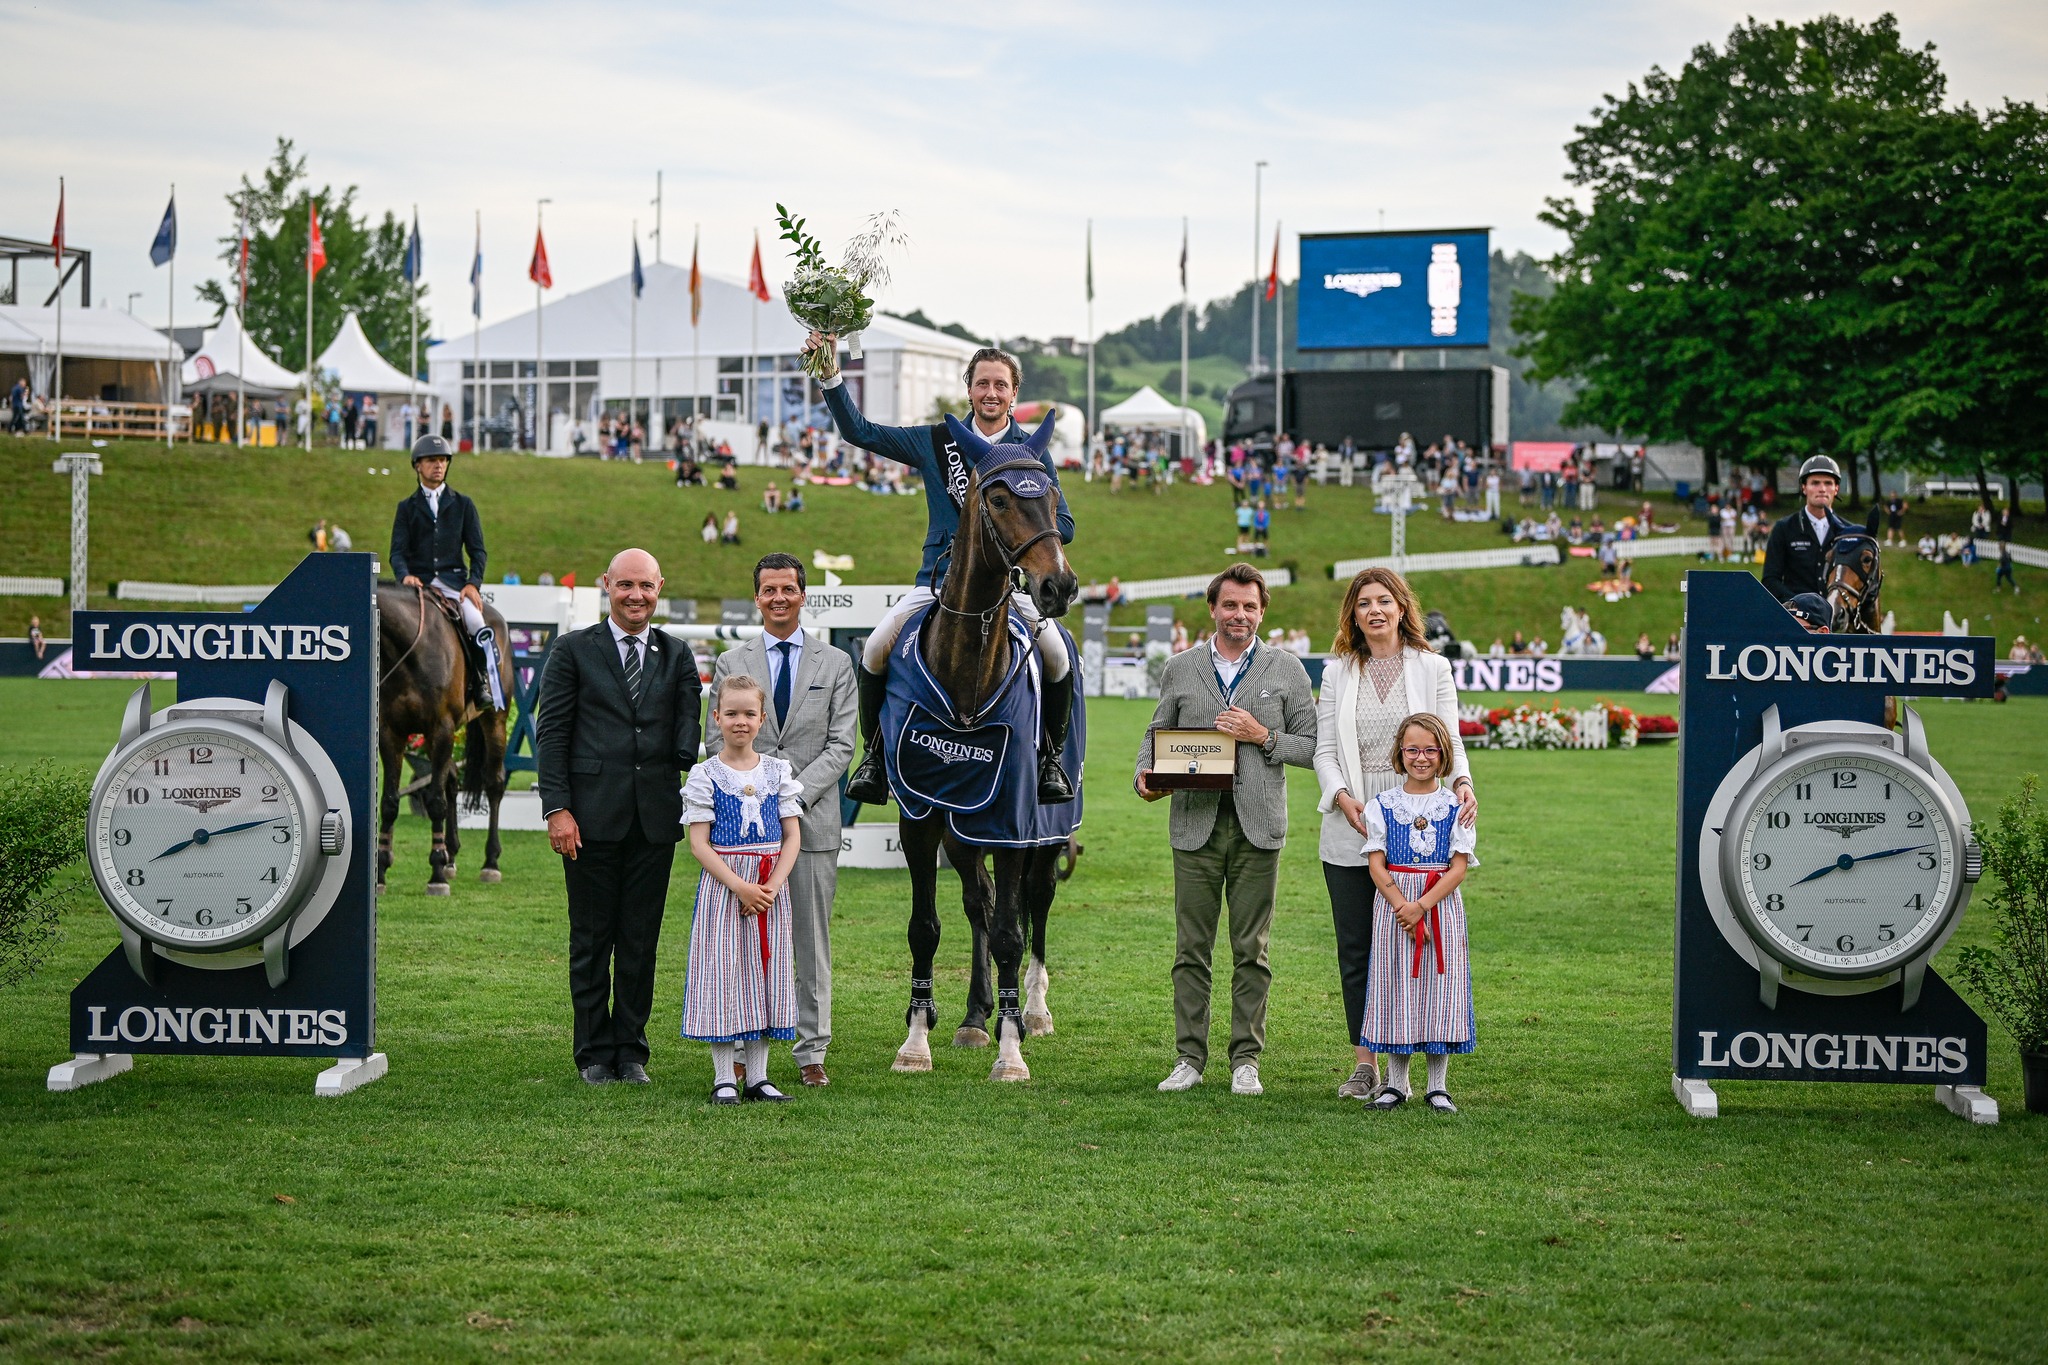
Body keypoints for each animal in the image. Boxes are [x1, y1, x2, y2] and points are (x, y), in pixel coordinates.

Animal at [375, 582, 514, 896]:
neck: (408, 652)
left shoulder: (441, 729)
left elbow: (435, 801)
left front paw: (436, 874)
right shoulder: (391, 733)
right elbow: (389, 803)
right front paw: (381, 872)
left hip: (494, 720)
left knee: (494, 783)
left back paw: (490, 862)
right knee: (451, 781)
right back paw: (451, 856)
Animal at [889, 414, 1081, 1083]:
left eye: (1051, 495)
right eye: (997, 499)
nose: (1059, 586)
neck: (966, 673)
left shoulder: (1012, 824)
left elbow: (1010, 934)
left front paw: (1012, 1050)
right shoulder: (922, 818)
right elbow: (926, 927)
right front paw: (917, 1040)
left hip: (1046, 829)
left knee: (1036, 903)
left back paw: (1035, 1010)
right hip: (963, 831)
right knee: (981, 903)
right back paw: (975, 1016)